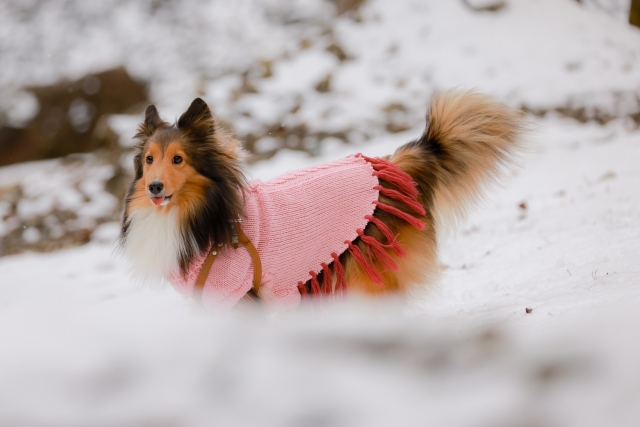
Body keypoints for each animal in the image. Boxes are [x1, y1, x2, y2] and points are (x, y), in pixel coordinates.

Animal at [120, 91, 524, 310]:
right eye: (149, 159)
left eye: (178, 160)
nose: (154, 187)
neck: (202, 214)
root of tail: (390, 165)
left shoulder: (243, 296)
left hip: (370, 265)